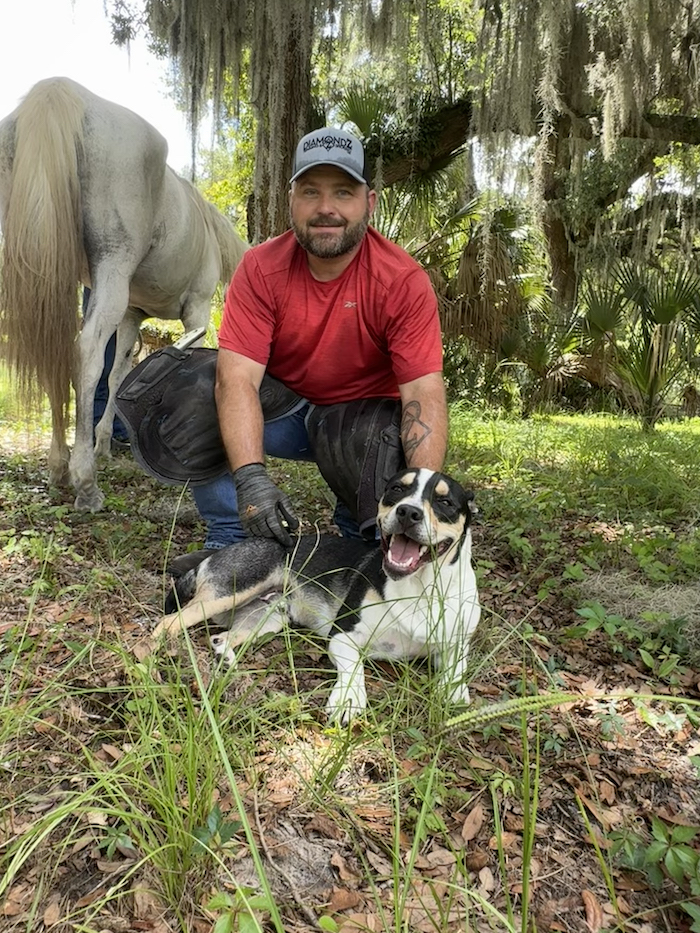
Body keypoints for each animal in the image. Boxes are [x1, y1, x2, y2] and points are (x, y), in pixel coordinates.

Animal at [0, 74, 249, 510]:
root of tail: (65, 94)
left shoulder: (132, 316)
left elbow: (119, 374)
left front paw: (103, 443)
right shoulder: (197, 311)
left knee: (58, 353)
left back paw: (59, 464)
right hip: (111, 271)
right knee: (84, 354)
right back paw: (85, 482)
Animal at [153, 466, 482, 720]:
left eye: (445, 502)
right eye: (396, 489)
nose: (408, 512)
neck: (420, 587)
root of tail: (216, 554)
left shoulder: (454, 647)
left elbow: (457, 672)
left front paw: (455, 694)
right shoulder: (342, 636)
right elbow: (355, 669)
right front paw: (348, 699)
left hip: (268, 618)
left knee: (220, 638)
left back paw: (227, 664)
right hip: (229, 592)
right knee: (168, 623)